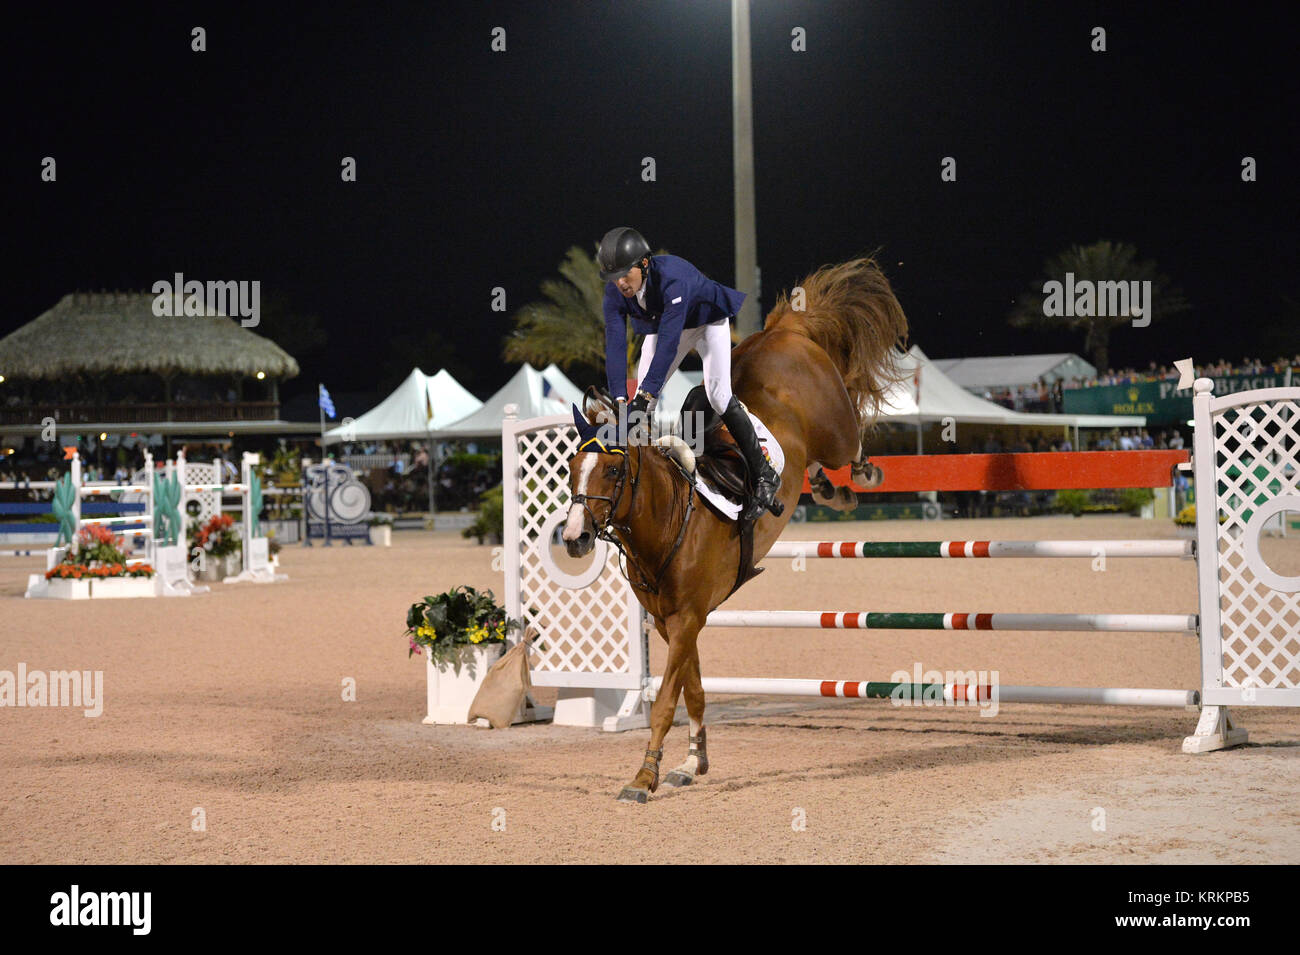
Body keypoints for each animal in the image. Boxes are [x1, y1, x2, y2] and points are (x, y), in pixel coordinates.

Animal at [564, 257, 909, 805]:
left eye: (614, 472)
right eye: (572, 468)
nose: (574, 538)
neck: (668, 519)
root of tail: (785, 330)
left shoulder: (688, 618)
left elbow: (666, 699)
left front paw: (643, 777)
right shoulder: (672, 622)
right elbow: (694, 689)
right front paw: (691, 762)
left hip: (833, 425)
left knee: (847, 433)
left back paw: (861, 473)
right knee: (804, 453)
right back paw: (824, 488)